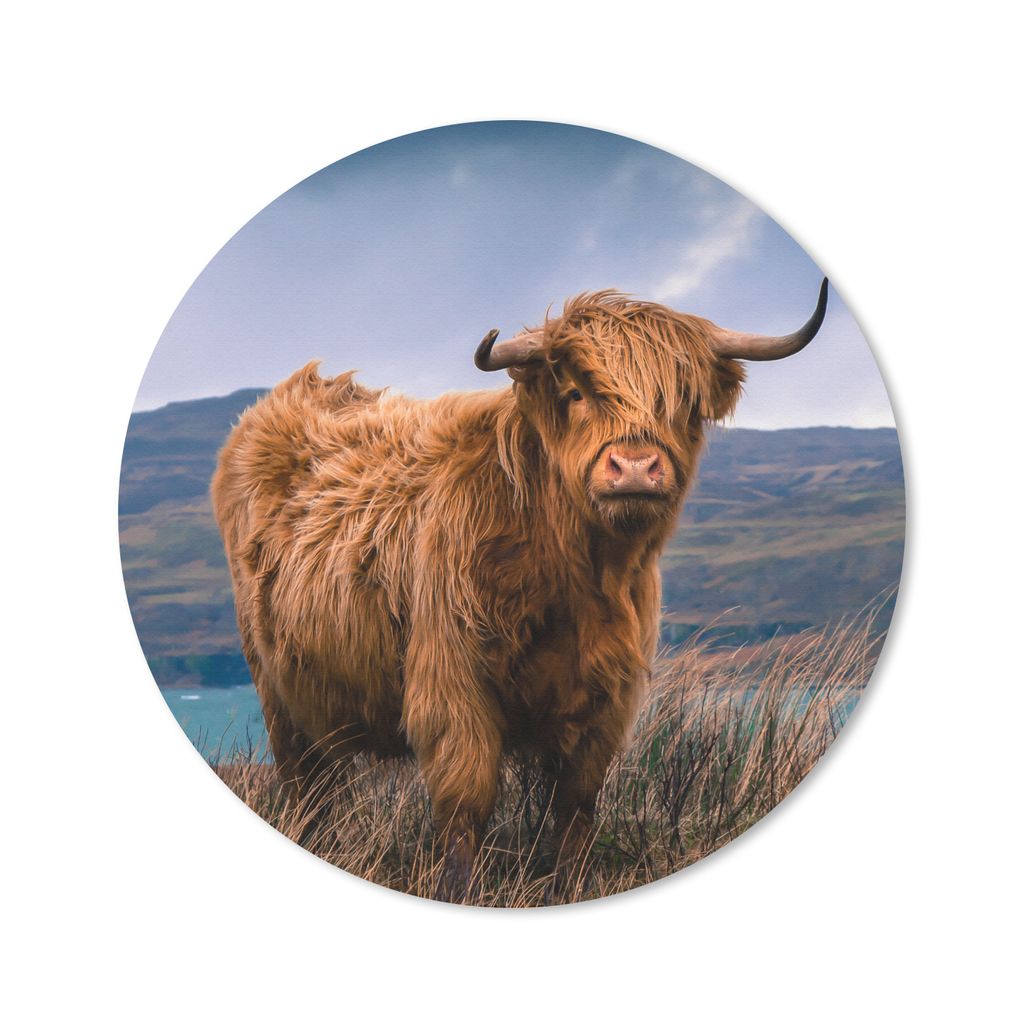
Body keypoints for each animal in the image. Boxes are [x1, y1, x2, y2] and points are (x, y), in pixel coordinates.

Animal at [211, 279, 828, 902]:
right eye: (576, 392)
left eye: (681, 401)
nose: (634, 468)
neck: (575, 577)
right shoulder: (452, 683)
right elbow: (466, 802)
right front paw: (460, 891)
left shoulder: (609, 697)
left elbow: (577, 805)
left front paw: (570, 887)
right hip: (277, 689)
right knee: (305, 784)